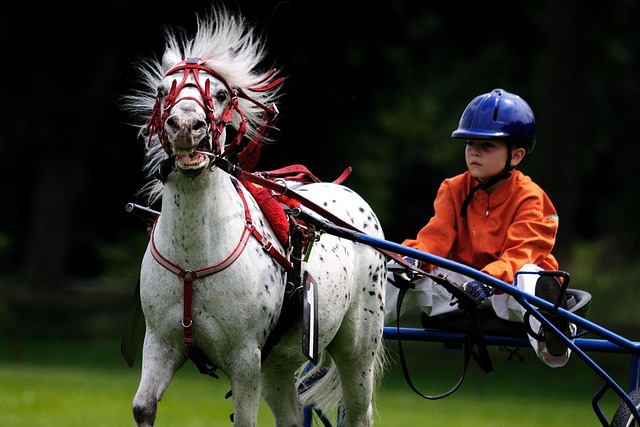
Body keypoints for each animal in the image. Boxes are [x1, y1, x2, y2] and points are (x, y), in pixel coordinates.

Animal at [123, 6, 388, 426]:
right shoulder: (161, 342)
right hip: (277, 366)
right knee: (291, 416)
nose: (186, 125)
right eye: (164, 92)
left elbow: (245, 419)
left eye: (219, 94)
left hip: (357, 350)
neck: (194, 258)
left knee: (359, 411)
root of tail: (350, 196)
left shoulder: (245, 357)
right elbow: (143, 406)